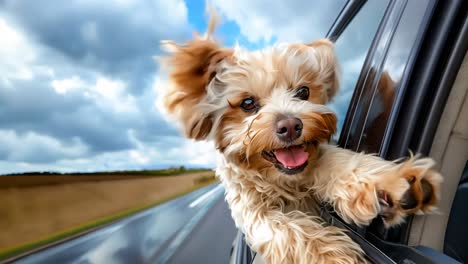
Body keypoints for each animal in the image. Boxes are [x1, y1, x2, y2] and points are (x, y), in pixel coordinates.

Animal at [158, 12, 442, 264]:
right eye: (247, 103)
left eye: (303, 92)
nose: (291, 126)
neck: (284, 181)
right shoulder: (252, 212)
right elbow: (284, 228)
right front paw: (334, 255)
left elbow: (342, 163)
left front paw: (388, 183)